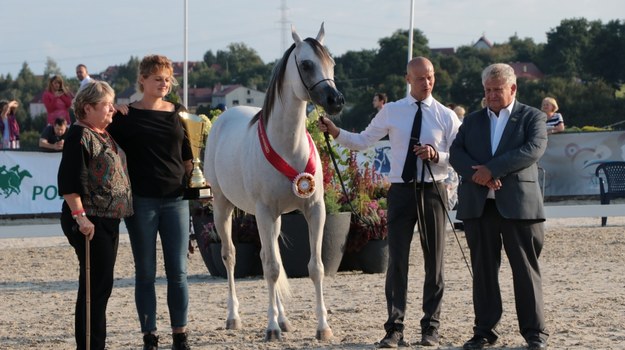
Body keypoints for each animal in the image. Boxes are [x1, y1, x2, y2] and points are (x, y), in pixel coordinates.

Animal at [204, 23, 342, 340]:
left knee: (271, 253)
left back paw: (284, 319)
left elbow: (314, 267)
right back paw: (234, 318)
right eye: (307, 64)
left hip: (273, 218)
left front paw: (322, 327)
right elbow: (269, 269)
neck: (288, 146)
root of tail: (224, 116)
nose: (336, 101)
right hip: (223, 205)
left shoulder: (314, 210)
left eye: (332, 62)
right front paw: (271, 329)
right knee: (231, 256)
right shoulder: (265, 212)